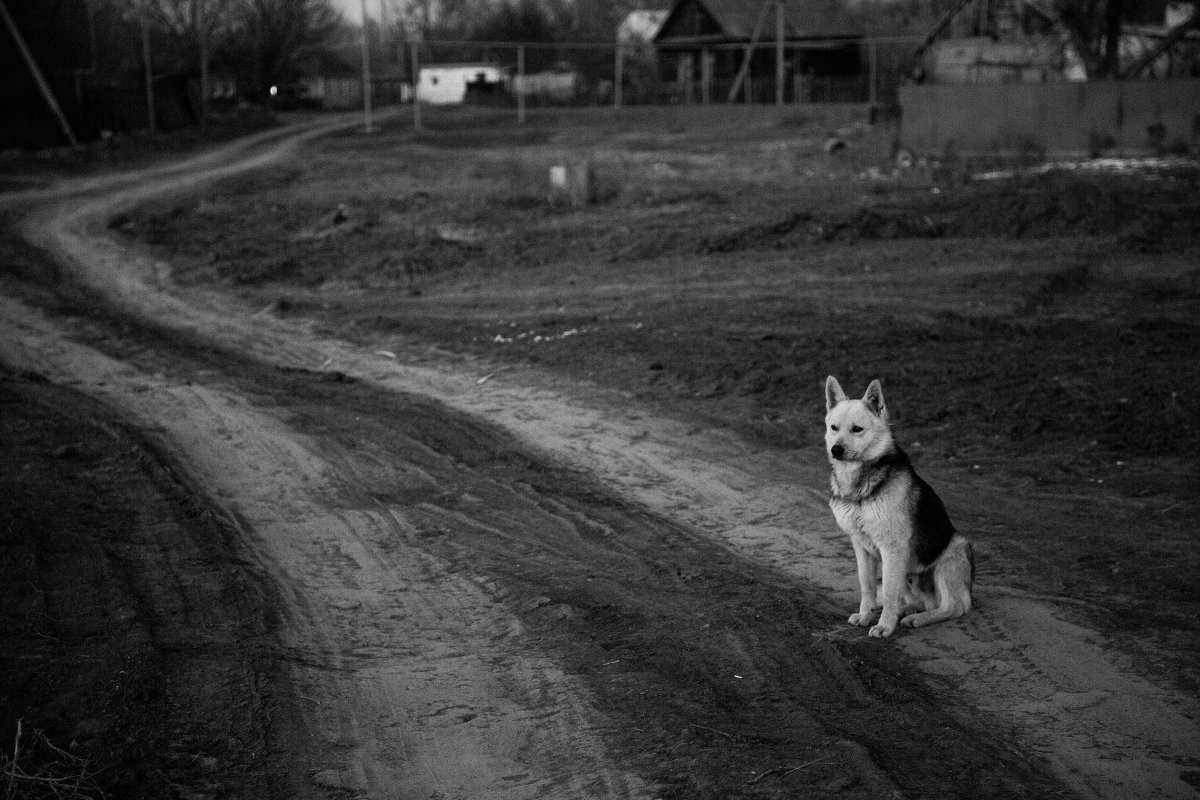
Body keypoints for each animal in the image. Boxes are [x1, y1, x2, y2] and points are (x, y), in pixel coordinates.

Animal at [825, 376, 974, 638]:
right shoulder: (861, 547)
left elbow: (887, 592)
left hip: (950, 556)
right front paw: (866, 615)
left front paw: (884, 626)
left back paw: (917, 618)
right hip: (906, 571)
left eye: (857, 429)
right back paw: (907, 610)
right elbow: (867, 586)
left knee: (952, 607)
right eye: (834, 428)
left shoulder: (892, 548)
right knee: (922, 602)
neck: (859, 484)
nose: (836, 450)